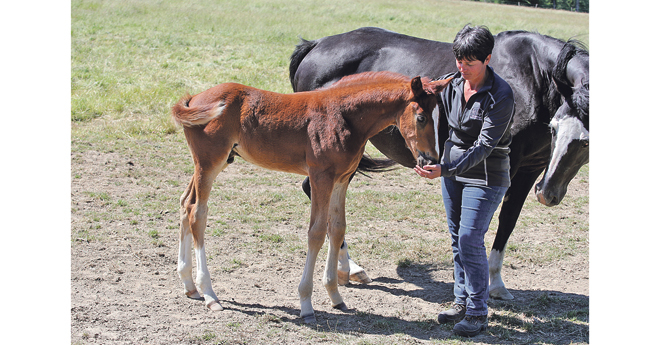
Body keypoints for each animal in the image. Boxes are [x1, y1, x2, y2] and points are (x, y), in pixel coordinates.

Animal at [288, 28, 588, 300]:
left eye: (585, 142)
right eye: (555, 128)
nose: (548, 194)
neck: (533, 76)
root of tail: (315, 45)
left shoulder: (530, 169)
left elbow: (507, 221)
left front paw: (496, 284)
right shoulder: (507, 165)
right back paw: (349, 268)